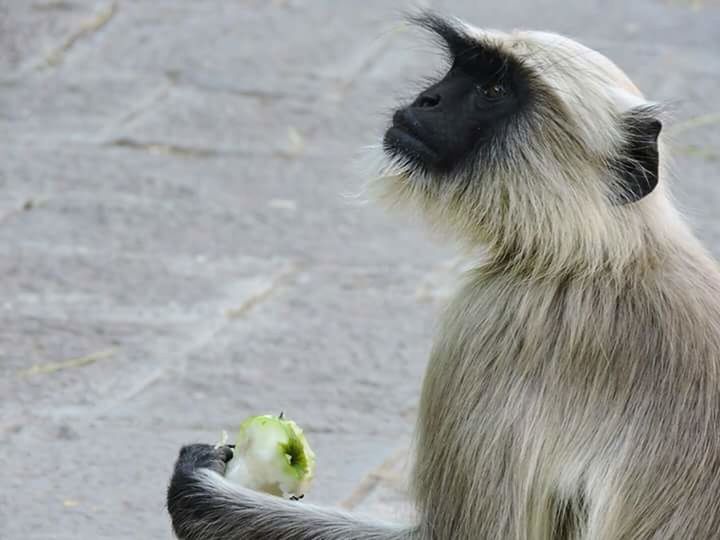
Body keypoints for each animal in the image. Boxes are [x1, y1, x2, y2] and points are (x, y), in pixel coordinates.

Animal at [165, 12, 720, 540]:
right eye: (459, 71)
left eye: (493, 90)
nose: (427, 99)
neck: (602, 254)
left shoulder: (493, 321)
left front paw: (197, 486)